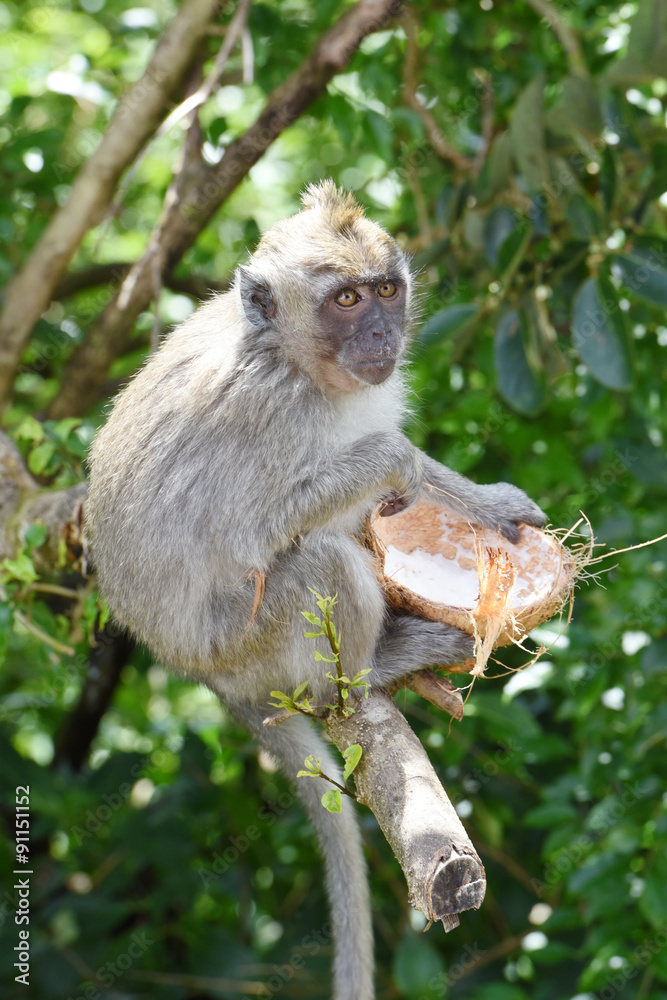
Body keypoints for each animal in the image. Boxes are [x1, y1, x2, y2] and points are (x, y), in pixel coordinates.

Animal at [85, 180, 545, 1000]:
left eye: (386, 291)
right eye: (346, 299)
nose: (379, 333)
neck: (294, 363)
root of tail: (197, 672)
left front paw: (485, 503)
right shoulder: (269, 413)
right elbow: (255, 533)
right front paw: (393, 459)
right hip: (247, 643)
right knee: (321, 563)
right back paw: (373, 671)